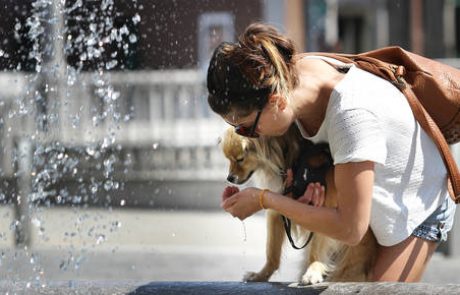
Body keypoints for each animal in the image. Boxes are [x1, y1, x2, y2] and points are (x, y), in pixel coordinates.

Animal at [220, 126, 378, 286]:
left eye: (240, 159)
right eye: (228, 159)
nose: (229, 178)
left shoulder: (324, 212)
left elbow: (315, 252)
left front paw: (313, 272)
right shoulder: (277, 211)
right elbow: (272, 252)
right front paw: (261, 275)